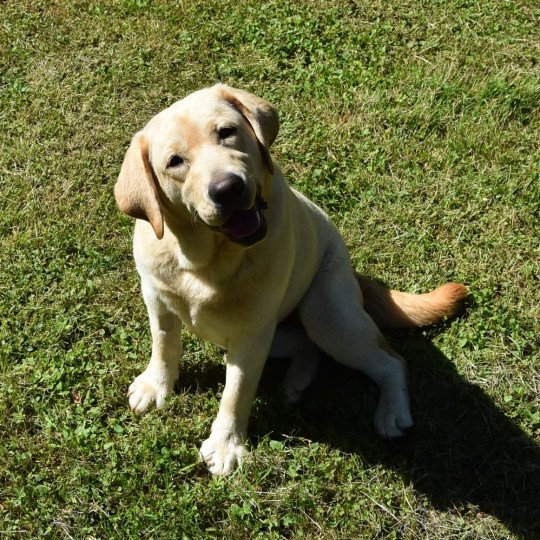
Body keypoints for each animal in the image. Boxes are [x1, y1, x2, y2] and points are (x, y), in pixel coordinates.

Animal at [115, 82, 468, 474]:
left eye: (227, 131)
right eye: (175, 162)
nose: (227, 189)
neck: (204, 261)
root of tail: (355, 277)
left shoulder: (252, 334)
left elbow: (236, 392)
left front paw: (225, 444)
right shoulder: (158, 300)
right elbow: (164, 345)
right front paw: (156, 385)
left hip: (325, 317)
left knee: (392, 360)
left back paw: (392, 412)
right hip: (275, 334)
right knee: (307, 345)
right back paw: (297, 382)